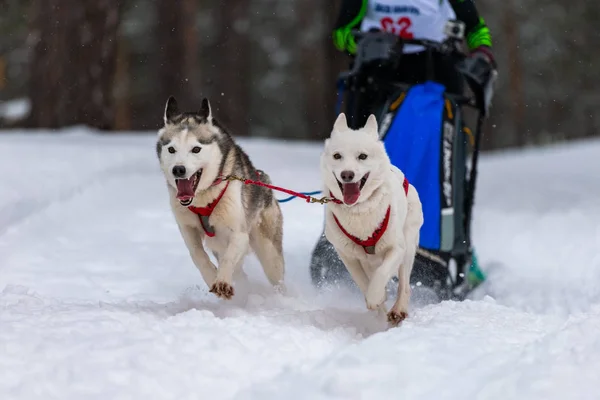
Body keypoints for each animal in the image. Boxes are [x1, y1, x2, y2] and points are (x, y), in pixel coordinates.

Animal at [156, 96, 284, 296]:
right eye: (171, 149)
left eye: (196, 149)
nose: (178, 169)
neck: (203, 198)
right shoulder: (187, 228)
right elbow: (197, 255)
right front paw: (211, 277)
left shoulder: (239, 233)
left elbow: (229, 258)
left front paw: (222, 281)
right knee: (240, 274)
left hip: (269, 254)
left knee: (277, 278)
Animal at [322, 112, 424, 324]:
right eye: (337, 156)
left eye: (362, 156)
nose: (347, 174)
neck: (359, 210)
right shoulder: (347, 254)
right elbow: (362, 280)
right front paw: (377, 299)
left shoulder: (396, 248)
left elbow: (382, 274)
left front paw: (375, 296)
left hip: (408, 246)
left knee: (404, 284)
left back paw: (398, 309)